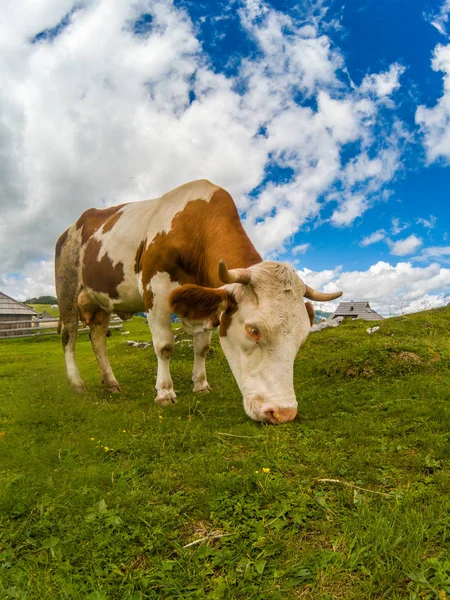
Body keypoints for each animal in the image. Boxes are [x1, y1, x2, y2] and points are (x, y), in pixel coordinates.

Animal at [53, 180, 342, 424]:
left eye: (302, 338)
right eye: (253, 330)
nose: (283, 413)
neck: (194, 230)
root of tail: (71, 227)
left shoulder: (208, 303)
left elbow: (202, 348)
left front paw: (201, 385)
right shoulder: (156, 293)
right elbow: (165, 347)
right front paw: (165, 392)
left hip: (99, 301)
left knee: (97, 338)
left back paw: (110, 382)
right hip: (67, 290)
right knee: (69, 335)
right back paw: (77, 383)